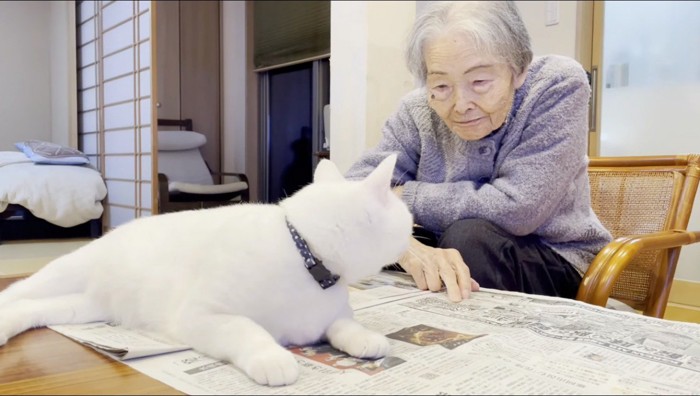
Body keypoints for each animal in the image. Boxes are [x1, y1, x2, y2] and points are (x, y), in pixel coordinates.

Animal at [0, 155, 412, 386]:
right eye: (405, 218)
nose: (414, 229)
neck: (307, 255)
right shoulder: (203, 315)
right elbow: (249, 330)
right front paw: (274, 358)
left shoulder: (332, 317)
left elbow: (346, 326)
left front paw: (367, 339)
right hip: (61, 274)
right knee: (16, 292)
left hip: (81, 307)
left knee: (30, 310)